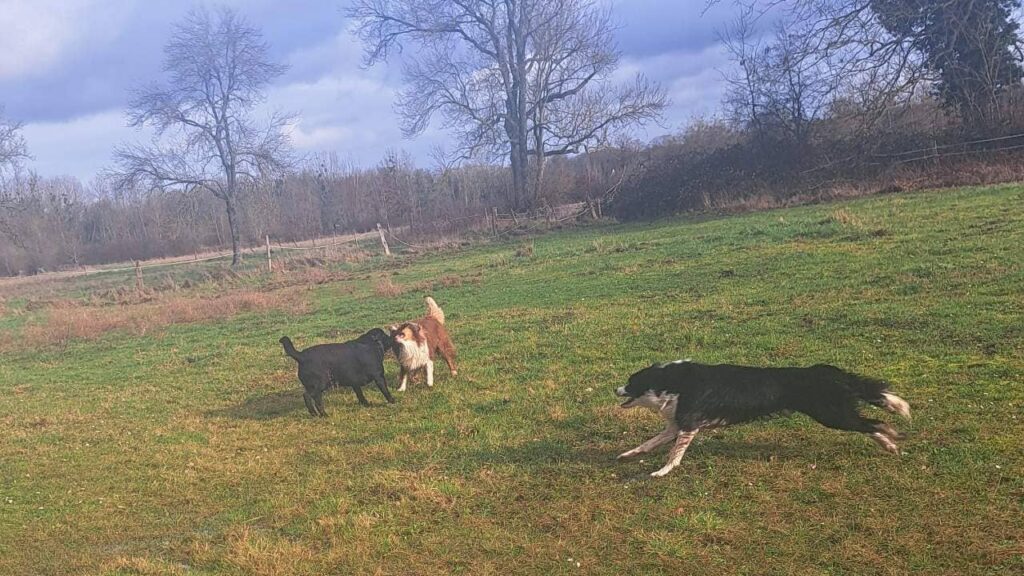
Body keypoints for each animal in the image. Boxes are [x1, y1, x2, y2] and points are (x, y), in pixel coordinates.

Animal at [614, 358, 913, 475]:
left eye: (630, 382)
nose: (614, 389)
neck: (672, 381)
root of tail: (830, 372)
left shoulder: (688, 424)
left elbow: (674, 454)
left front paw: (662, 472)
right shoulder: (676, 424)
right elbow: (649, 443)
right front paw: (627, 455)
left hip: (832, 415)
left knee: (874, 423)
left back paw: (891, 442)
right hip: (836, 414)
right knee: (870, 424)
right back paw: (891, 445)